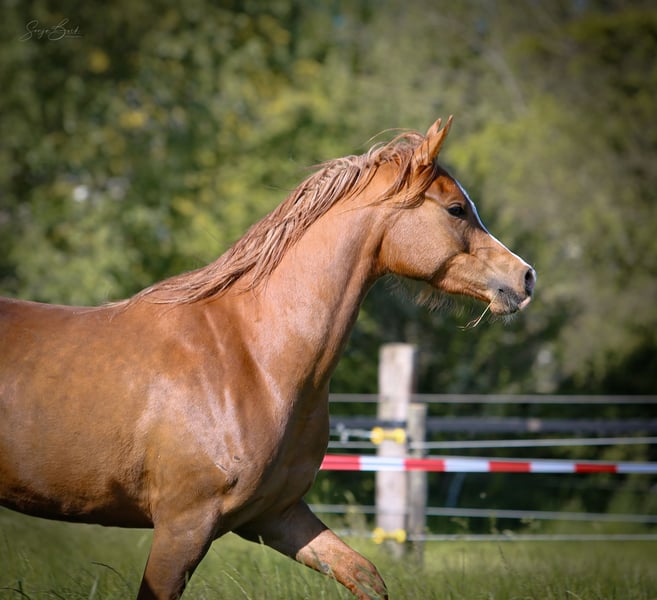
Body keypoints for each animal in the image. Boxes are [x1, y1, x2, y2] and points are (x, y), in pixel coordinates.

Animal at [0, 117, 535, 599]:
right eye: (456, 209)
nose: (525, 277)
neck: (252, 358)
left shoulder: (276, 515)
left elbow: (365, 576)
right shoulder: (183, 526)